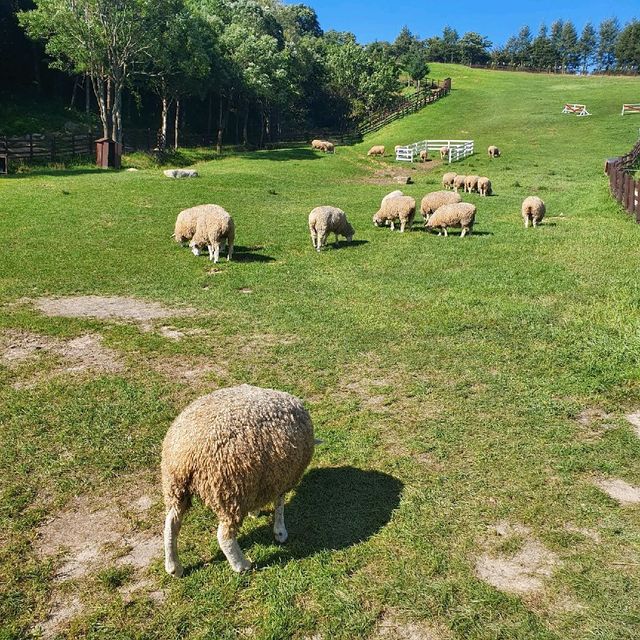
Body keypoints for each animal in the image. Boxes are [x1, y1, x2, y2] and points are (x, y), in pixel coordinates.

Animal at [162, 384, 316, 576]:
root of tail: (189, 454)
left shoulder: (265, 479)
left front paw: (254, 512)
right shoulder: (282, 479)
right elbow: (279, 505)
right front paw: (280, 532)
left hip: (175, 486)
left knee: (171, 525)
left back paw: (174, 567)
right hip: (230, 492)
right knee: (224, 536)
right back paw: (241, 565)